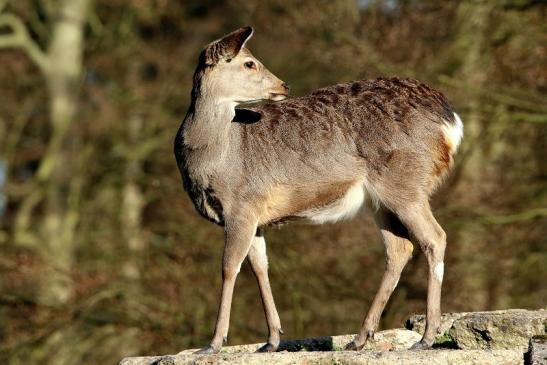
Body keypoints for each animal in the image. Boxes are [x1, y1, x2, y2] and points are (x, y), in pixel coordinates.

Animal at [174, 26, 462, 352]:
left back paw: (426, 337)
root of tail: (451, 121)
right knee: (400, 248)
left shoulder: (242, 203)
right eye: (249, 63)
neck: (215, 154)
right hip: (381, 200)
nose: (284, 85)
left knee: (434, 238)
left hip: (405, 182)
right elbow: (260, 267)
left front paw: (213, 343)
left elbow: (229, 266)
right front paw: (272, 340)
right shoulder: (257, 216)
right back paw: (360, 338)